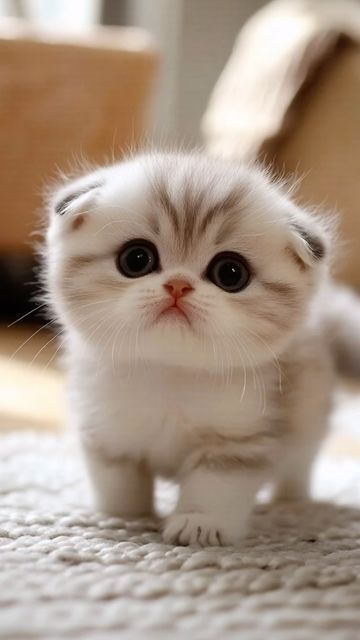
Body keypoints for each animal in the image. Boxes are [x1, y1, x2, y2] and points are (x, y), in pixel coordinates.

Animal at [44, 151, 334, 544]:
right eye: (136, 259)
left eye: (230, 273)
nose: (178, 285)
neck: (169, 373)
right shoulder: (105, 431)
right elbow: (118, 482)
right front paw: (122, 518)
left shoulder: (240, 438)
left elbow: (216, 485)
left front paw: (199, 524)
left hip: (309, 416)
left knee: (298, 467)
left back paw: (293, 504)